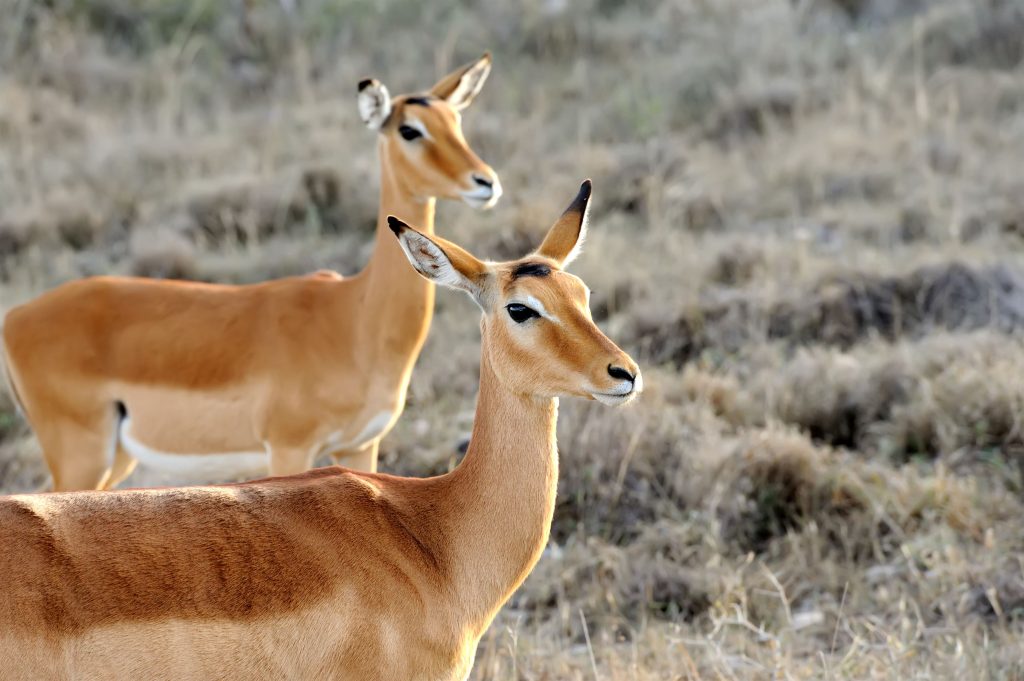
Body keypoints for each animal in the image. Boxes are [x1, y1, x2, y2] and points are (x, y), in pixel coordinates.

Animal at [1, 53, 502, 491]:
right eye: (409, 130)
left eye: (455, 122)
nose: (486, 182)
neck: (355, 316)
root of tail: (14, 318)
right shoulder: (289, 448)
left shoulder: (360, 445)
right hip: (83, 456)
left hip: (116, 459)